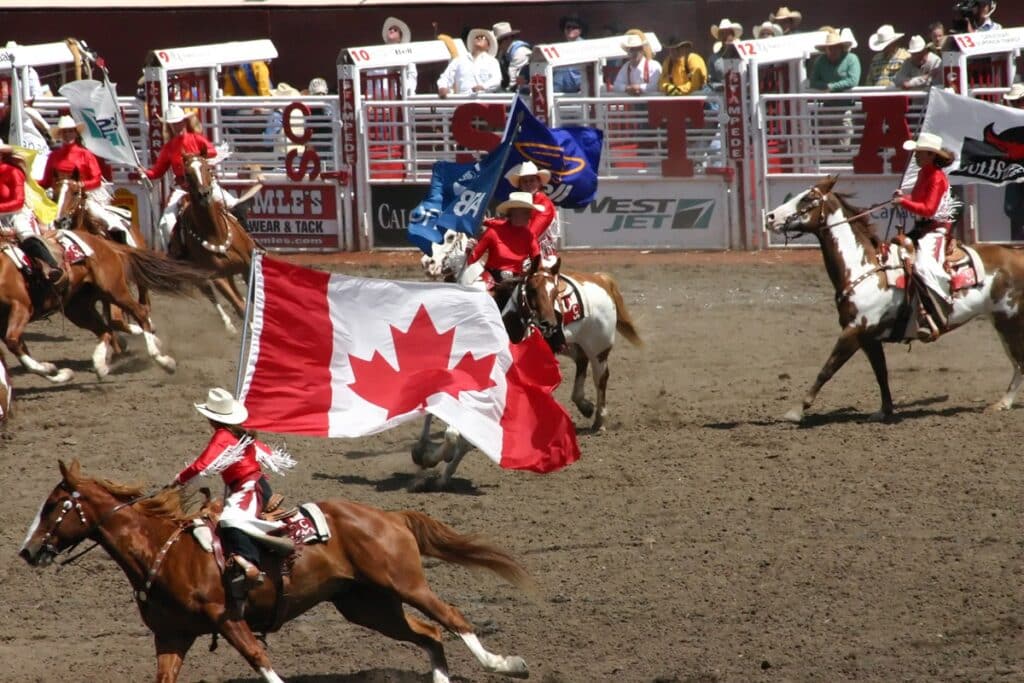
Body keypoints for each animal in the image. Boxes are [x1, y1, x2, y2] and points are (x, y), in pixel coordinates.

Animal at [1, 231, 209, 382]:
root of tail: (102, 241)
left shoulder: (21, 307)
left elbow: (13, 341)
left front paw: (53, 370)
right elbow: (21, 352)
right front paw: (58, 372)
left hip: (113, 289)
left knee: (140, 313)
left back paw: (163, 361)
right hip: (77, 308)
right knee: (105, 331)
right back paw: (101, 365)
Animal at [22, 458, 536, 683]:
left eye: (51, 507)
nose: (27, 552)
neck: (162, 549)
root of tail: (389, 515)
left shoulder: (227, 618)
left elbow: (259, 659)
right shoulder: (171, 636)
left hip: (404, 583)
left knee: (451, 617)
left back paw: (505, 664)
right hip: (366, 604)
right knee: (428, 633)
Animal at [176, 154, 256, 335]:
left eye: (208, 168)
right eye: (187, 174)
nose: (204, 194)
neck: (216, 234)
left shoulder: (248, 265)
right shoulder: (218, 277)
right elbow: (239, 305)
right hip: (199, 276)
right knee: (211, 295)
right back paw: (229, 325)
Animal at [765, 175, 1024, 421]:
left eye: (807, 198)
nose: (769, 217)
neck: (865, 269)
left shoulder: (853, 332)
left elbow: (826, 370)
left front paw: (796, 411)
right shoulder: (869, 338)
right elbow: (881, 373)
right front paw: (884, 410)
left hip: (1009, 322)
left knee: (1019, 362)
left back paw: (1003, 403)